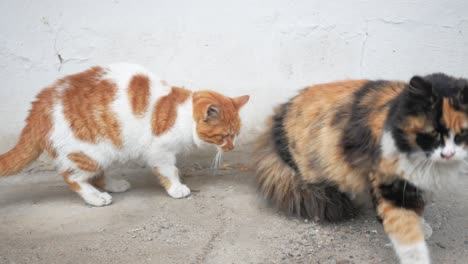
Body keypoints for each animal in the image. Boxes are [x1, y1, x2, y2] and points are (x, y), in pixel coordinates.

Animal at [0, 63, 250, 206]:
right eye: (224, 136)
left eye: (236, 134)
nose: (231, 148)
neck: (183, 115)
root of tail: (38, 105)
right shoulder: (159, 150)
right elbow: (168, 170)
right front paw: (176, 187)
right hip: (89, 151)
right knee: (73, 177)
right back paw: (96, 197)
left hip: (106, 150)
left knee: (96, 175)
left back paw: (113, 184)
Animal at [256, 73, 468, 264]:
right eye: (433, 133)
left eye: (462, 134)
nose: (448, 154)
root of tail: (279, 113)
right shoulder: (388, 183)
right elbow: (406, 232)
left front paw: (422, 224)